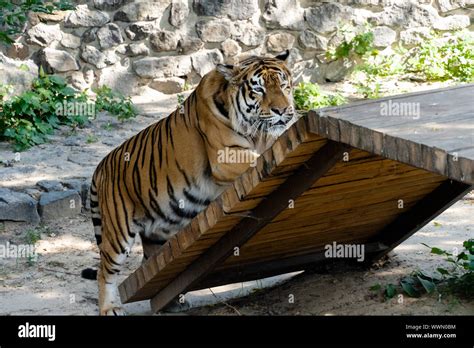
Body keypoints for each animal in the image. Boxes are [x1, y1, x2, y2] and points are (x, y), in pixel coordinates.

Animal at [82, 49, 296, 316]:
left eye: (284, 86)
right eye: (259, 89)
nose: (282, 110)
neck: (258, 134)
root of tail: (101, 166)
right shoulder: (224, 157)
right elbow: (256, 159)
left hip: (158, 234)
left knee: (153, 270)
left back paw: (174, 303)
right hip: (118, 229)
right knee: (105, 271)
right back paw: (109, 308)